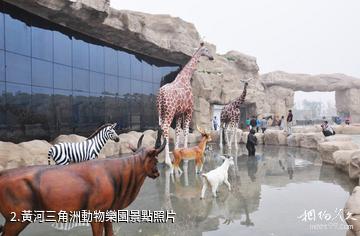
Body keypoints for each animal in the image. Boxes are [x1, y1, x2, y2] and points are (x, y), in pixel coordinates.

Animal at [0, 135, 166, 236]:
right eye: (156, 159)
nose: (157, 173)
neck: (116, 174)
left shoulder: (108, 212)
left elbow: (110, 232)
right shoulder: (96, 213)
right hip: (16, 219)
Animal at [157, 42, 214, 172]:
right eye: (206, 50)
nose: (212, 58)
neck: (185, 78)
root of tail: (161, 94)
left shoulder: (179, 113)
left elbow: (178, 131)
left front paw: (178, 152)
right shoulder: (189, 110)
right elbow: (186, 131)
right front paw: (185, 157)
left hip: (161, 112)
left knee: (160, 128)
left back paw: (161, 156)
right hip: (169, 111)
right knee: (165, 128)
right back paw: (167, 161)